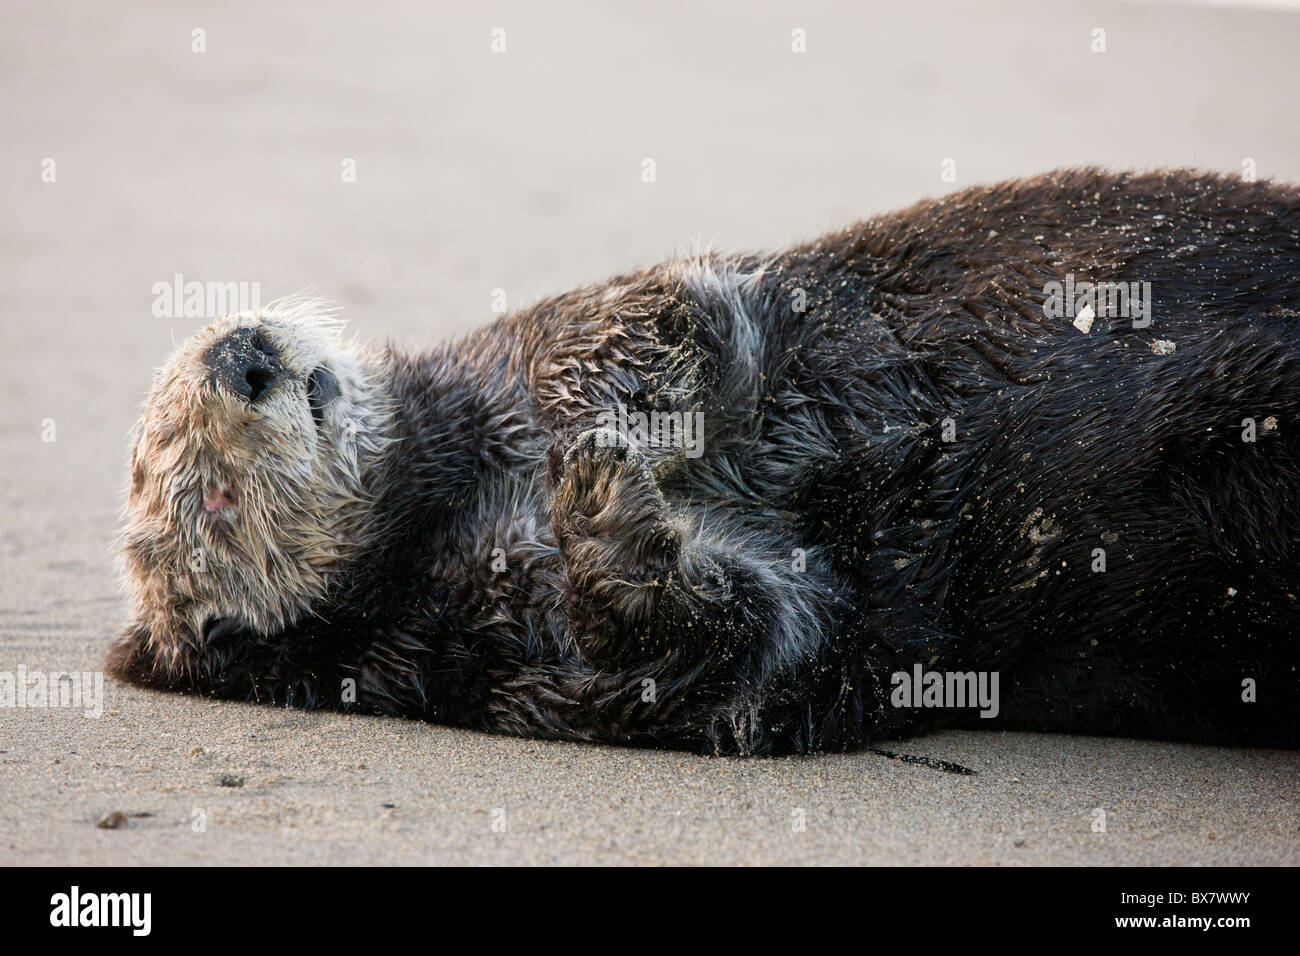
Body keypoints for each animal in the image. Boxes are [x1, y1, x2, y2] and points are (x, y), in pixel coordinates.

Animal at [106, 168, 1300, 755]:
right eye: (200, 488)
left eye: (160, 451)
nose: (243, 354)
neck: (446, 502)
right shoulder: (496, 662)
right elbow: (729, 647)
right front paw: (601, 496)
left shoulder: (524, 347)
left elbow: (647, 317)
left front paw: (607, 421)